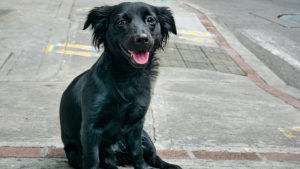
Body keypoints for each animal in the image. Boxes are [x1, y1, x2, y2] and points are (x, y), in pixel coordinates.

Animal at [59, 1, 179, 169]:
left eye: (150, 20)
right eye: (121, 22)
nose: (142, 39)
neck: (128, 77)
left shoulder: (137, 125)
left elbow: (137, 154)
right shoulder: (91, 127)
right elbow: (93, 159)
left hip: (146, 136)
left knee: (154, 157)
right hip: (76, 153)